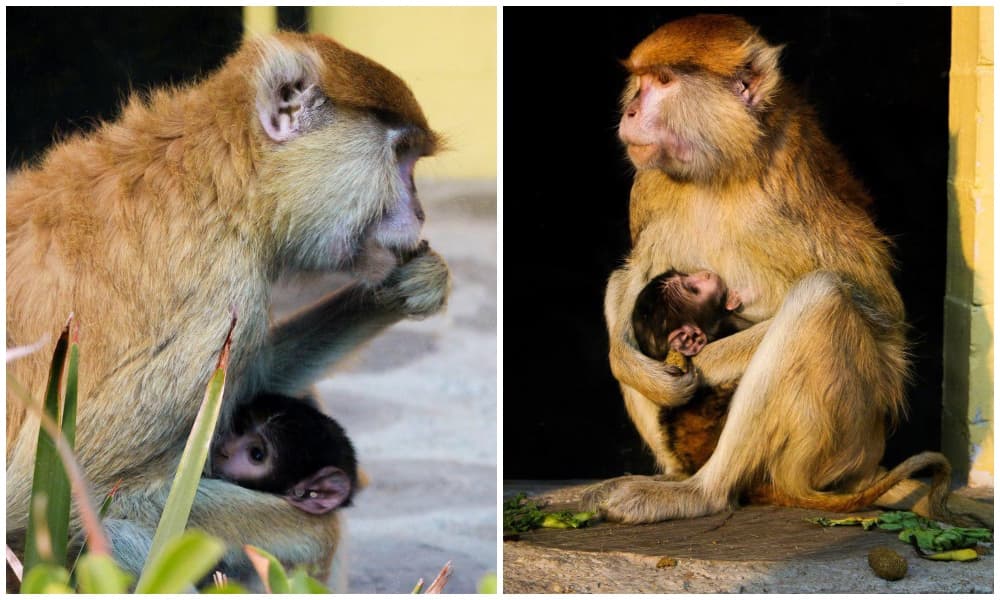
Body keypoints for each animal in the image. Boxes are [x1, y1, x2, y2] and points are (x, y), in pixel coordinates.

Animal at [581, 14, 991, 528]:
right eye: (640, 80)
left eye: (665, 81)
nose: (632, 111)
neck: (725, 167)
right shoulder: (651, 183)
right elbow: (634, 275)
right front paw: (639, 368)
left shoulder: (790, 189)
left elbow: (881, 318)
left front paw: (700, 362)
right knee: (624, 280)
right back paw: (676, 477)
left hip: (842, 444)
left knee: (821, 298)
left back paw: (702, 492)